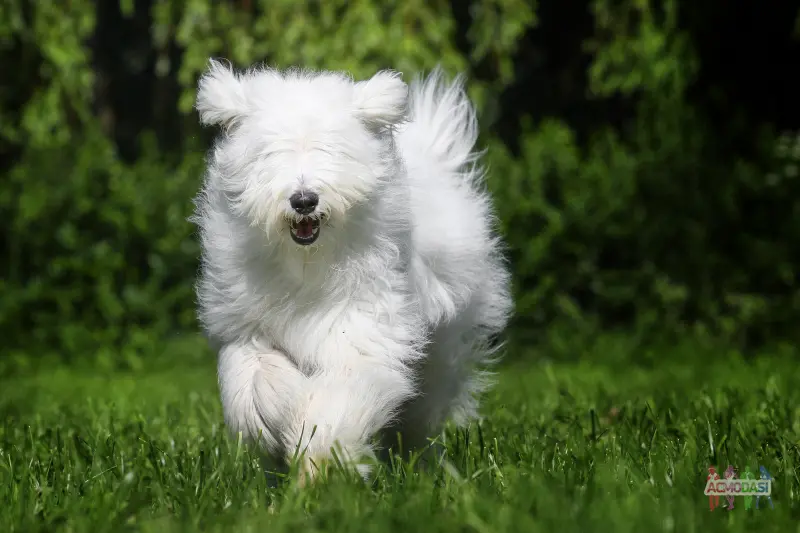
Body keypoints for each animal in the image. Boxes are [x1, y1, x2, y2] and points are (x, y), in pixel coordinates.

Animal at [191, 59, 510, 482]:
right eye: (271, 153)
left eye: (332, 151)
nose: (304, 201)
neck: (307, 264)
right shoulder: (247, 330)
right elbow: (256, 378)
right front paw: (279, 422)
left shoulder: (362, 330)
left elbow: (340, 396)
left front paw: (319, 463)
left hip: (440, 350)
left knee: (421, 412)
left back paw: (421, 466)